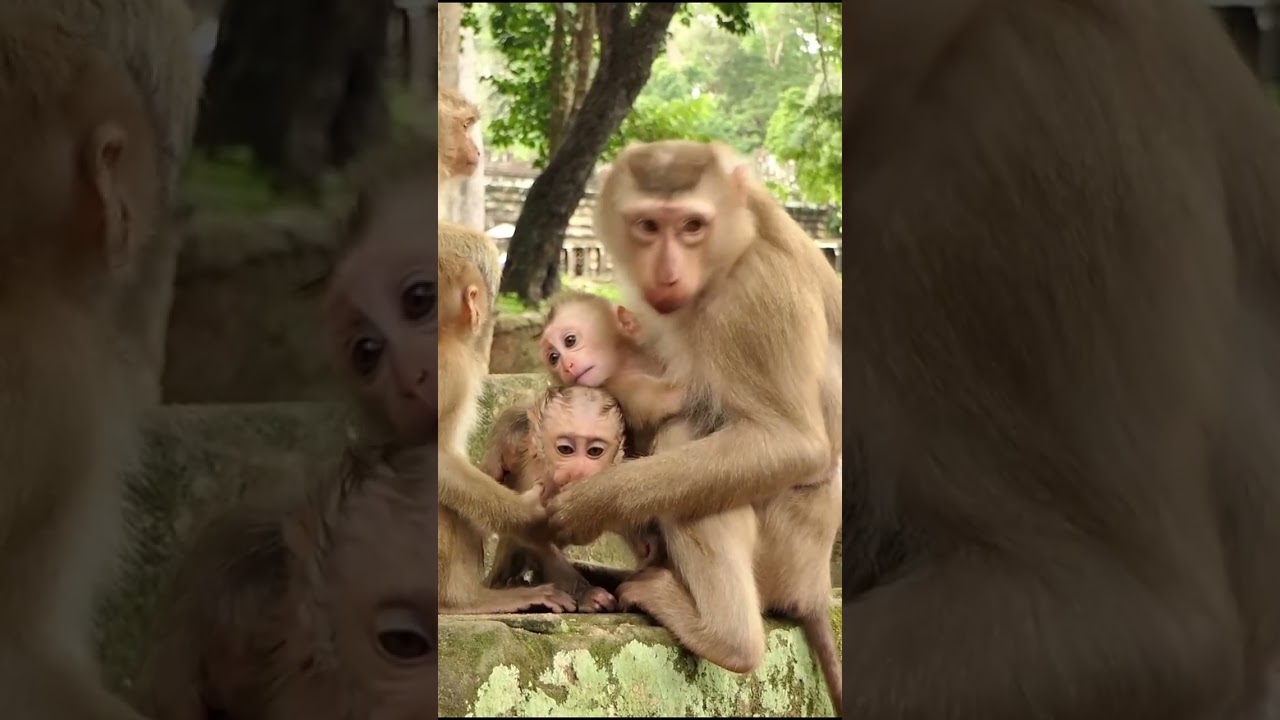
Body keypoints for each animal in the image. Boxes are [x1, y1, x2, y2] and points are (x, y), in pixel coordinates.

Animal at [545, 140, 843, 714]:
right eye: (647, 226)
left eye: (691, 226)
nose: (665, 273)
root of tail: (817, 586)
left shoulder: (758, 295)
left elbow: (793, 442)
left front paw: (591, 502)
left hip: (785, 550)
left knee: (693, 461)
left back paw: (725, 638)